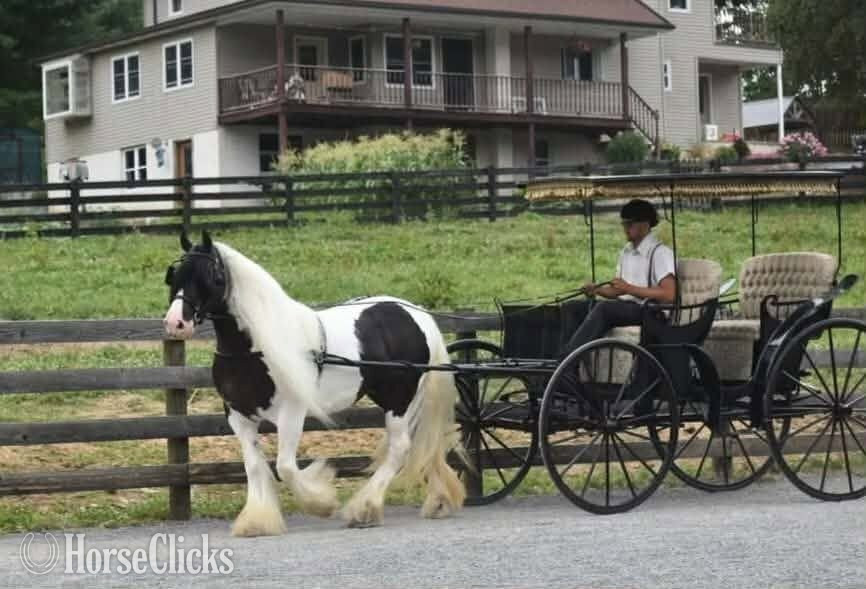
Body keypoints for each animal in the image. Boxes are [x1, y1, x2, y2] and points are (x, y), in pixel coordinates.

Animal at [162, 231, 466, 536]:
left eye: (209, 276)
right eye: (175, 275)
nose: (176, 323)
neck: (256, 347)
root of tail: (416, 314)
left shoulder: (292, 412)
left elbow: (285, 467)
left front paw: (322, 503)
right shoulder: (239, 415)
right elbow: (254, 467)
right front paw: (258, 521)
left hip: (400, 398)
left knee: (401, 448)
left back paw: (365, 508)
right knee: (422, 444)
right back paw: (438, 500)